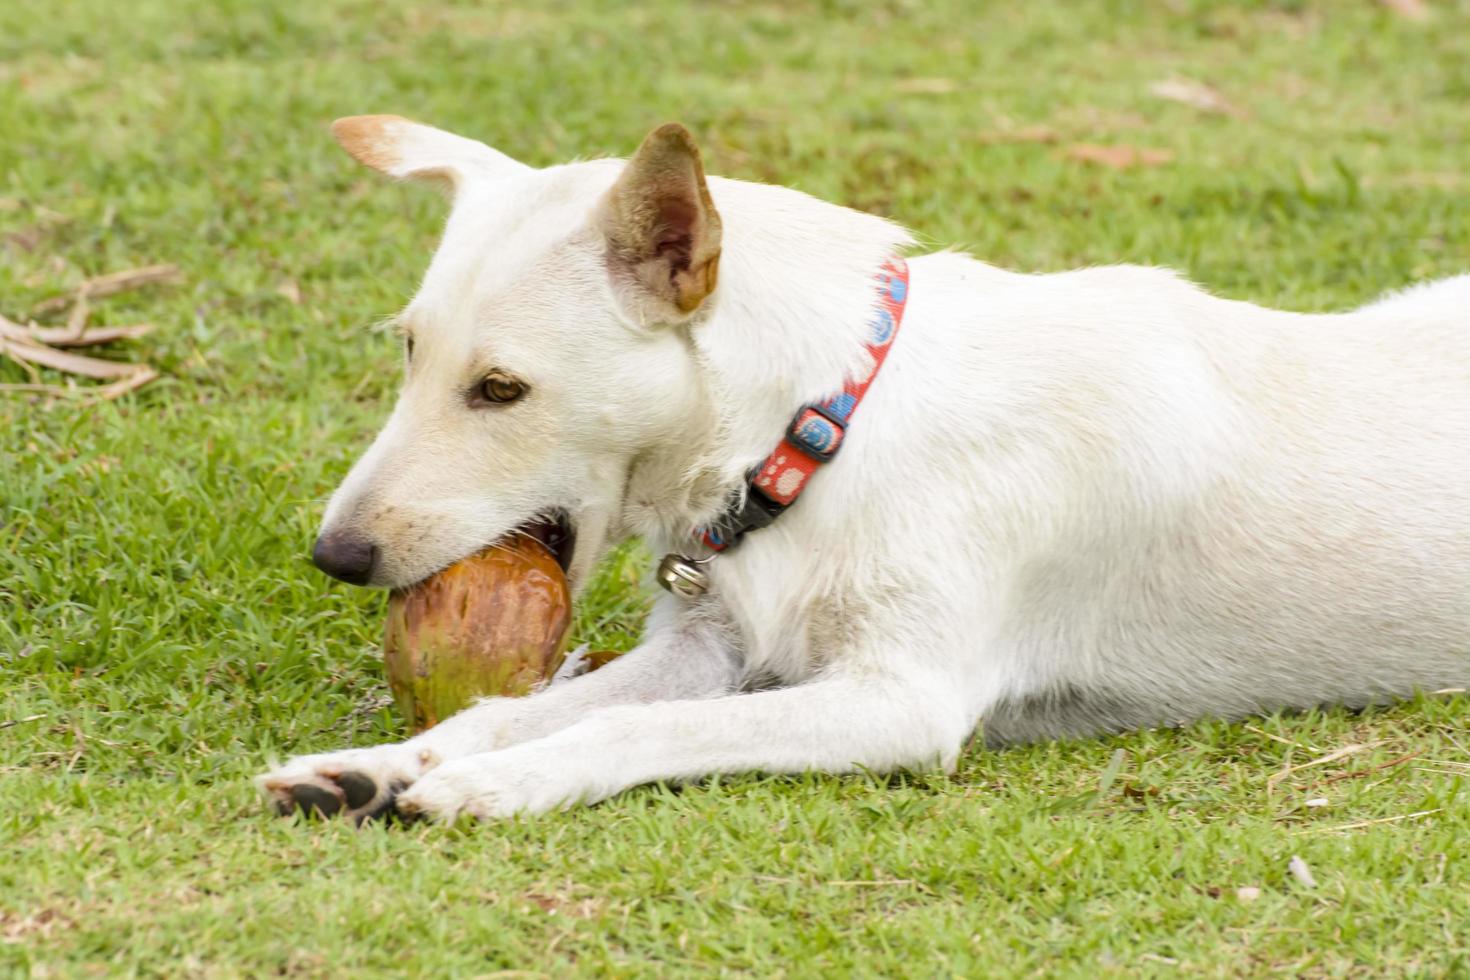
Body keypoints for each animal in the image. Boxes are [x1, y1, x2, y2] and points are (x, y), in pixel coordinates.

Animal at [258, 113, 1464, 822]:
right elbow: (513, 707)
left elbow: (633, 727)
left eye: (501, 389)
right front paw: (383, 763)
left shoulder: (897, 697)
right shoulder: (710, 648)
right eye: (409, 351)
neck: (820, 430)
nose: (334, 555)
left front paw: (502, 781)